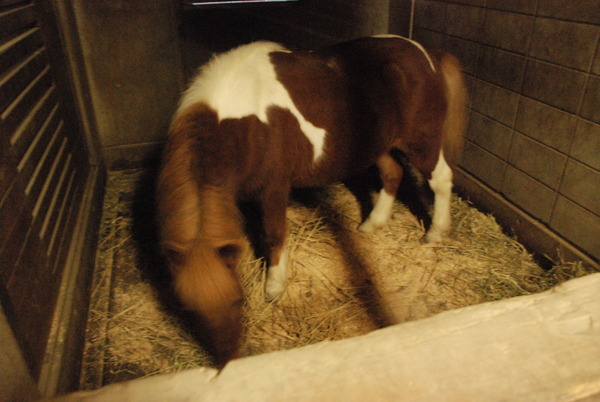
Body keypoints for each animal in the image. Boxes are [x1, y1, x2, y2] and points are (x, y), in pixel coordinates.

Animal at [156, 36, 468, 366]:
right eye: (190, 312)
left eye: (238, 300)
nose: (231, 360)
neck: (240, 120)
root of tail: (427, 54)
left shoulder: (274, 188)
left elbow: (273, 235)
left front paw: (274, 286)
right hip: (380, 145)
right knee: (393, 173)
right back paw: (373, 224)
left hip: (422, 142)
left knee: (440, 179)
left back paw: (435, 233)